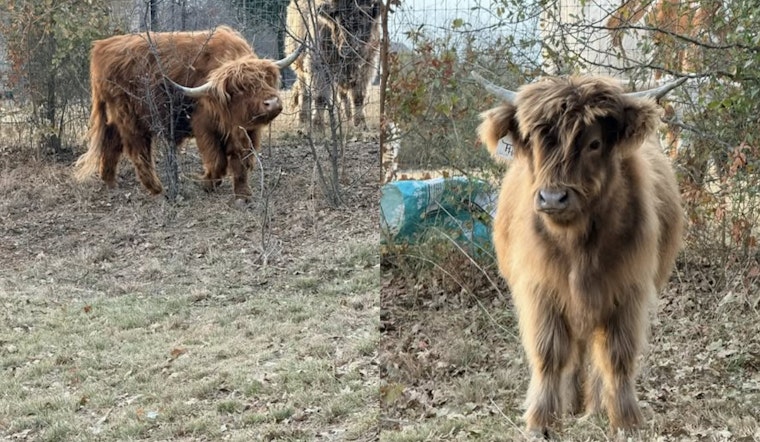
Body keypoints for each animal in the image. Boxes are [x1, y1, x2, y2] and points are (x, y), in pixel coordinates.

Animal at [74, 26, 302, 200]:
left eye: (265, 79)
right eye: (240, 89)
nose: (272, 103)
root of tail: (102, 47)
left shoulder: (246, 129)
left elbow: (241, 160)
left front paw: (243, 194)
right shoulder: (204, 126)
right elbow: (218, 160)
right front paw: (207, 183)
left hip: (114, 117)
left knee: (111, 144)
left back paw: (110, 182)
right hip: (129, 117)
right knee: (138, 151)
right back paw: (157, 189)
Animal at [285, 0, 381, 129]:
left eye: (363, 17)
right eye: (339, 20)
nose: (348, 49)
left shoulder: (367, 65)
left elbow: (358, 96)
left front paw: (360, 124)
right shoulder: (318, 64)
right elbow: (320, 97)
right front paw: (317, 126)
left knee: (343, 95)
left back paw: (348, 118)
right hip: (300, 65)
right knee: (304, 92)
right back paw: (303, 120)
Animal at [474, 72, 685, 437]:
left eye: (594, 144)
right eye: (535, 142)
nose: (552, 198)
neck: (577, 246)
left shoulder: (627, 289)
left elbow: (616, 355)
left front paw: (625, 420)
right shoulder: (540, 289)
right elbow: (549, 353)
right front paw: (541, 421)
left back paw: (595, 407)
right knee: (574, 349)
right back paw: (571, 404)